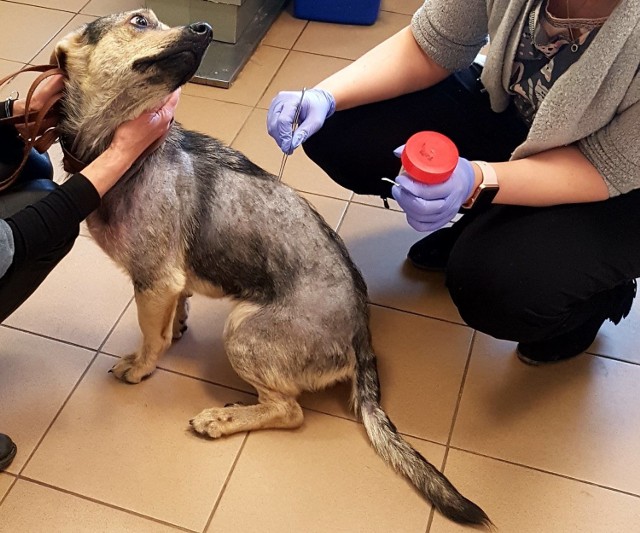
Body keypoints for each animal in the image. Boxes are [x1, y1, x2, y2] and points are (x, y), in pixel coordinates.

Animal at [51, 10, 490, 524]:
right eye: (140, 21)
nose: (204, 28)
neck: (126, 148)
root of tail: (362, 337)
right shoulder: (172, 281)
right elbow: (175, 311)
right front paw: (178, 324)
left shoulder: (154, 281)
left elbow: (150, 338)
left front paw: (140, 368)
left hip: (243, 331)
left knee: (289, 411)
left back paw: (222, 418)